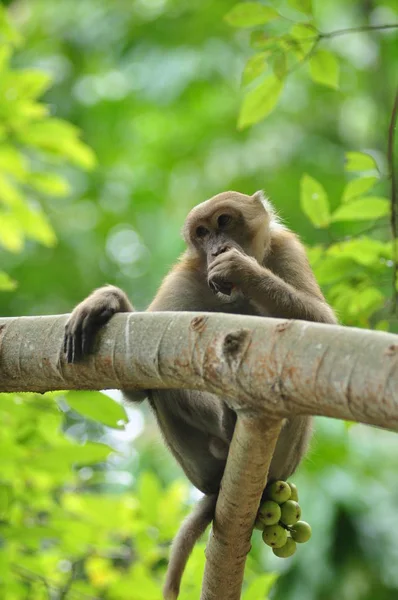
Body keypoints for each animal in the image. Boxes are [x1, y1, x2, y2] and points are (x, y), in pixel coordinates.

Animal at [63, 190, 336, 596]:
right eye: (202, 233)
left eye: (224, 221)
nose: (215, 247)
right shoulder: (184, 278)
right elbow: (137, 387)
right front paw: (110, 301)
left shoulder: (287, 249)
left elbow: (323, 329)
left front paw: (244, 270)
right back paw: (227, 425)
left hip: (287, 455)